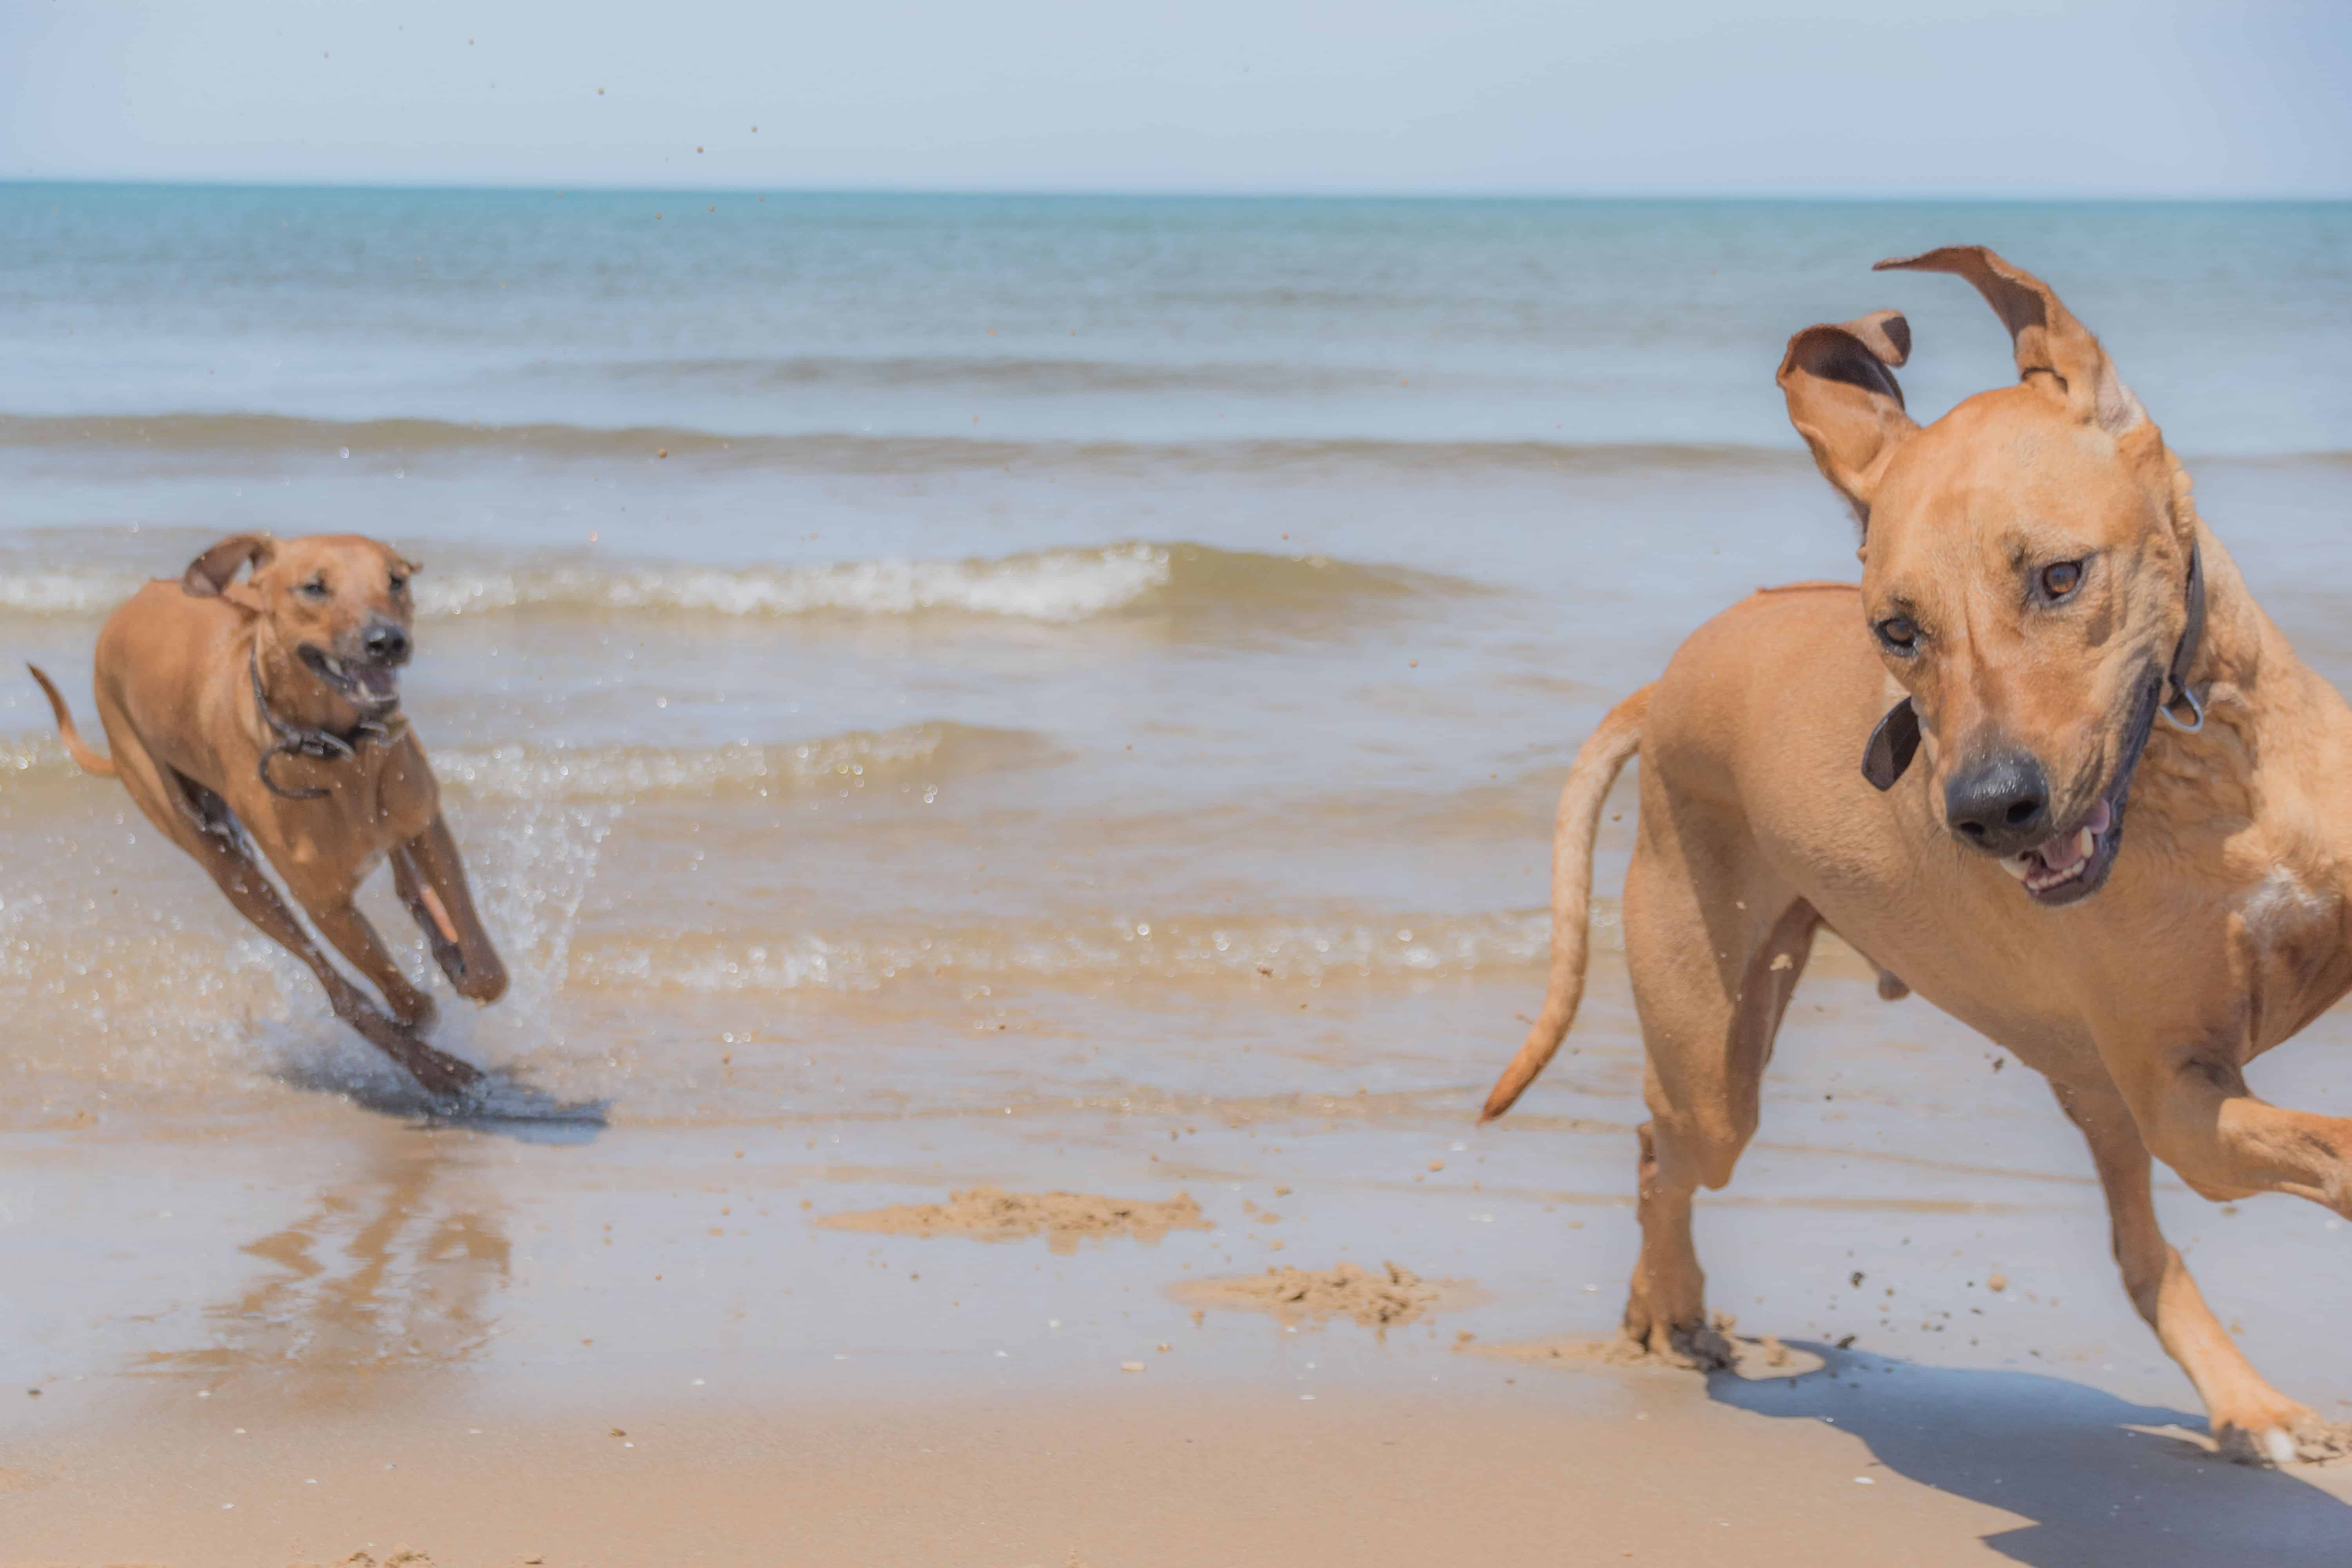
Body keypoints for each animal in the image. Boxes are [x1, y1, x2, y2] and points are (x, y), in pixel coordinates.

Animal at [29, 534, 510, 1100]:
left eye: (396, 580)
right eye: (314, 587)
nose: (387, 641)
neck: (335, 749)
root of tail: (126, 611)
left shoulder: (423, 823)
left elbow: (483, 962)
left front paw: (465, 963)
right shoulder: (324, 899)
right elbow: (397, 992)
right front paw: (420, 1022)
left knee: (404, 896)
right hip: (223, 861)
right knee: (341, 992)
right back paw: (436, 1067)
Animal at [1486, 245, 2352, 1476]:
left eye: (2059, 577)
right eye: (1897, 631)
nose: (1989, 811)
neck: (2215, 784)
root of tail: (1665, 685)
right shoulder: (2190, 1107)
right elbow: (2330, 1148)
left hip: (2085, 1085)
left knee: (2143, 1258)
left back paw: (2250, 1405)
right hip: (1717, 1054)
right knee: (1664, 1141)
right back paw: (1672, 1309)